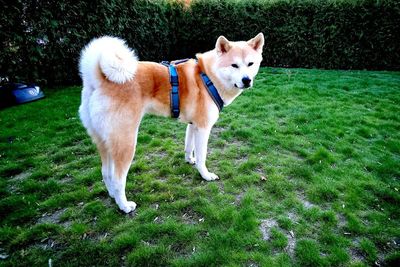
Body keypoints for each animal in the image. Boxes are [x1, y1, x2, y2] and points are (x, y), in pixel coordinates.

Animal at [79, 33, 264, 214]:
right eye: (234, 65)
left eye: (250, 64)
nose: (246, 80)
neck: (208, 76)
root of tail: (99, 79)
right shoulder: (203, 128)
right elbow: (202, 157)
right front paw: (205, 175)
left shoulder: (193, 125)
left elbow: (189, 147)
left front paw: (189, 160)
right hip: (126, 143)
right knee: (118, 179)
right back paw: (124, 206)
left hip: (105, 142)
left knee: (105, 173)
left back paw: (112, 196)